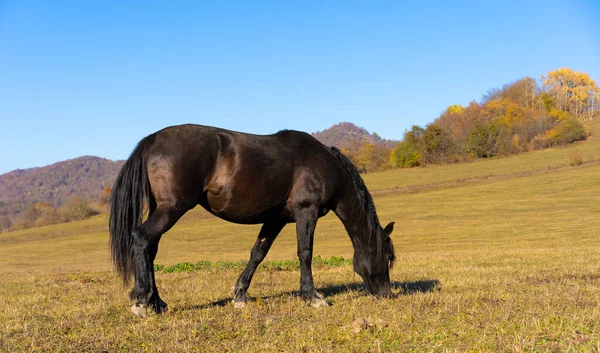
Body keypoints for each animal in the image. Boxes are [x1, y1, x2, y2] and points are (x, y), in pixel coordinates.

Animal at [109, 123, 396, 316]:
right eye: (388, 258)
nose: (386, 295)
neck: (324, 164)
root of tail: (154, 137)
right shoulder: (307, 212)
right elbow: (305, 253)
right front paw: (313, 296)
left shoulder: (276, 220)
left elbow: (258, 253)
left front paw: (239, 294)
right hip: (172, 209)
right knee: (141, 239)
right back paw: (142, 300)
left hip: (162, 209)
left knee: (150, 250)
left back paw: (157, 303)